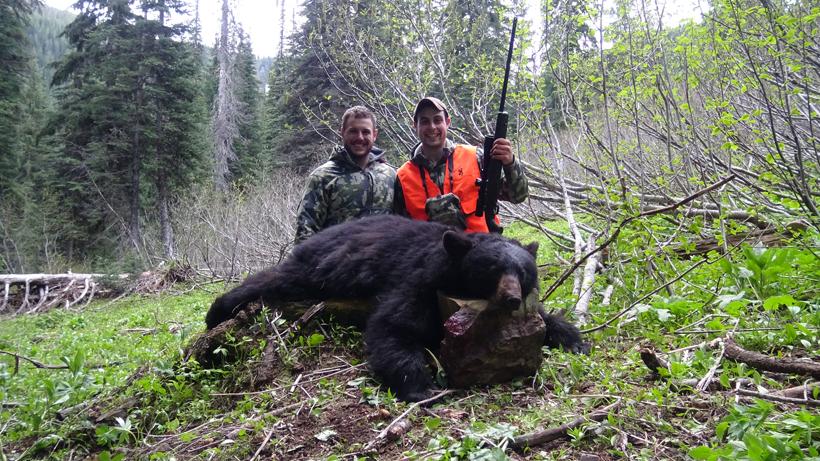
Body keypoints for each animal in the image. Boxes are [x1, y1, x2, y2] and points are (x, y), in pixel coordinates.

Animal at [206, 215, 586, 402]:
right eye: (492, 270)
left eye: (521, 272)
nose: (510, 299)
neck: (447, 264)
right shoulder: (417, 280)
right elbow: (395, 327)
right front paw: (421, 387)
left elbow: (547, 318)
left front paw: (574, 339)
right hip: (323, 267)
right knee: (277, 278)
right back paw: (217, 311)